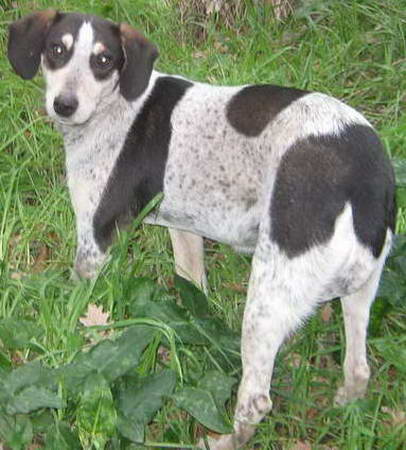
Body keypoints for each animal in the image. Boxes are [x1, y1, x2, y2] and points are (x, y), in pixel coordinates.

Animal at [7, 10, 396, 450]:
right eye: (57, 50)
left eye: (103, 60)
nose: (64, 105)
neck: (117, 104)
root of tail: (368, 175)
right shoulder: (185, 230)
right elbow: (192, 283)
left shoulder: (95, 238)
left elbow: (78, 313)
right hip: (360, 292)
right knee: (359, 368)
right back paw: (346, 403)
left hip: (267, 299)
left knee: (257, 400)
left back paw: (222, 440)